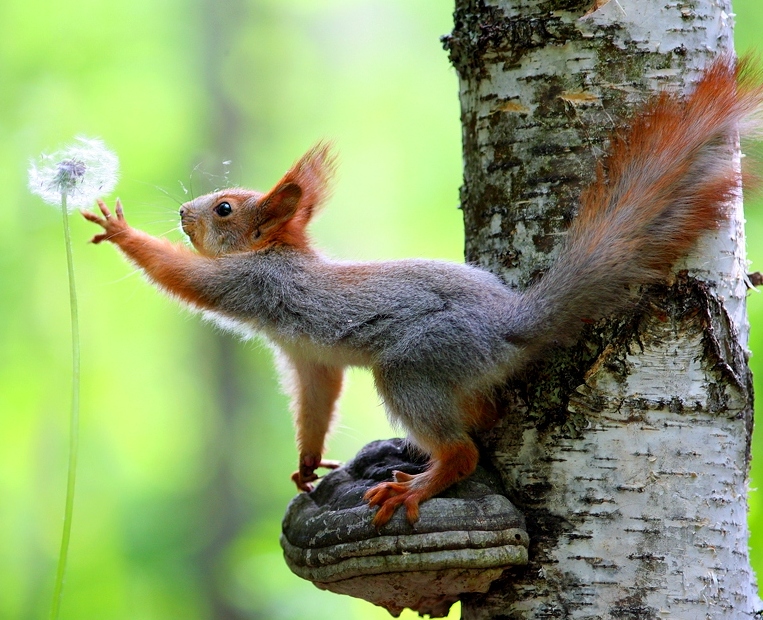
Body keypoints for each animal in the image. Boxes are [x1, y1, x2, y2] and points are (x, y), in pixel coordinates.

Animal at [83, 55, 763, 524]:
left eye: (224, 209)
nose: (183, 214)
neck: (277, 252)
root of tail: (512, 323)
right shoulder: (308, 359)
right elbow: (316, 402)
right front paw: (306, 464)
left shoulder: (252, 283)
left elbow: (186, 277)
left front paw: (122, 231)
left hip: (417, 362)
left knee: (459, 450)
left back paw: (419, 484)